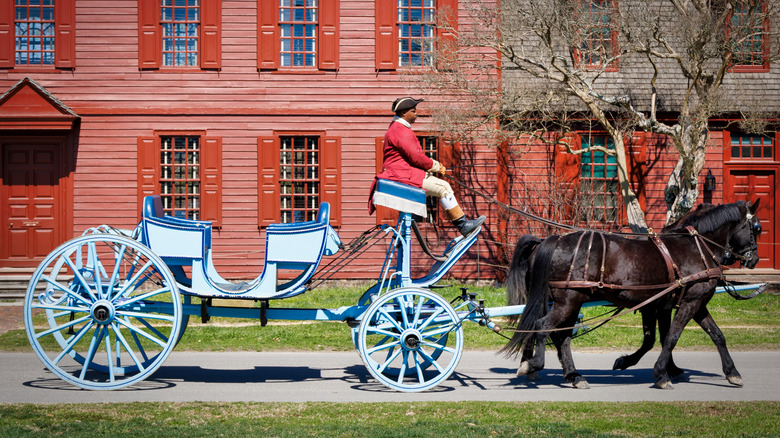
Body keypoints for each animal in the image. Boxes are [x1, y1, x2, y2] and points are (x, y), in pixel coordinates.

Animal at [502, 200, 764, 388]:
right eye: (757, 228)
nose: (754, 259)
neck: (696, 247)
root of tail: (552, 239)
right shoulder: (689, 302)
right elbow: (671, 337)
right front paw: (661, 374)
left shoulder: (685, 303)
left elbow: (715, 335)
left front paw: (731, 372)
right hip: (567, 300)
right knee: (543, 326)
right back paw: (534, 365)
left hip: (569, 301)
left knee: (560, 335)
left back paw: (574, 375)